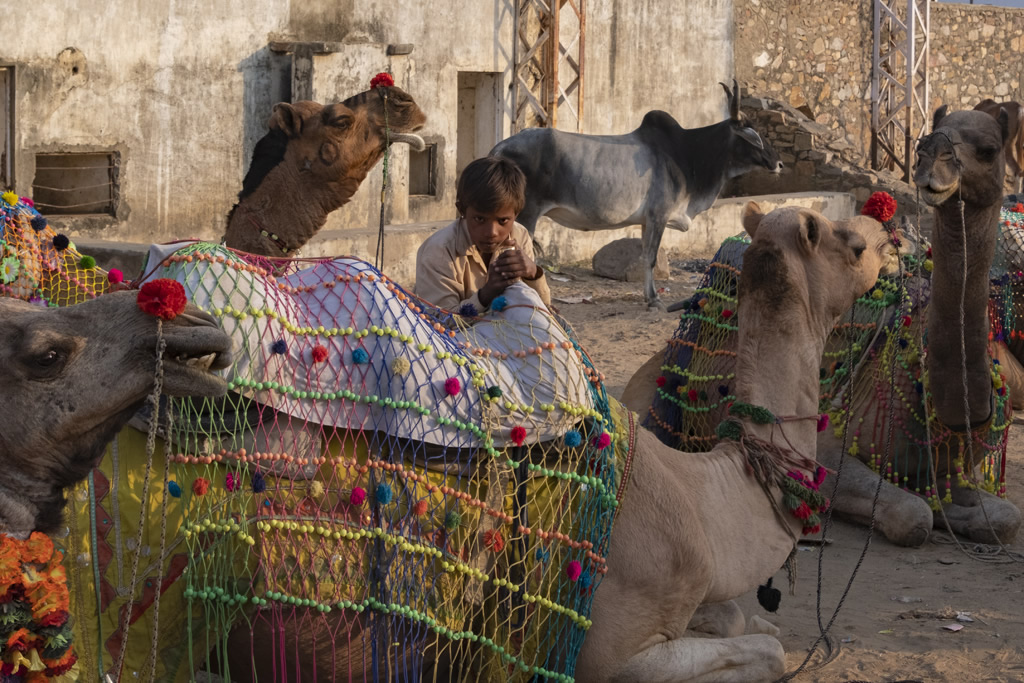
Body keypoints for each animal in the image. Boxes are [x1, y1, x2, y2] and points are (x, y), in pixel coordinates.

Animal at [214, 202, 888, 683]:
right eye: (851, 244)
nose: (888, 230)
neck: (705, 499)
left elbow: (737, 616)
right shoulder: (610, 653)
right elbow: (769, 649)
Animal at [491, 78, 778, 309]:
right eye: (752, 132)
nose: (778, 162)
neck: (686, 155)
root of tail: (499, 149)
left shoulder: (646, 221)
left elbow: (646, 257)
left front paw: (648, 295)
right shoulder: (659, 216)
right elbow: (650, 258)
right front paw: (654, 300)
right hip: (525, 216)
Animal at [622, 104, 1024, 548]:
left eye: (988, 150)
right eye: (924, 140)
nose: (930, 160)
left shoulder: (951, 473)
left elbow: (1004, 518)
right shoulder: (828, 450)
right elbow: (911, 514)